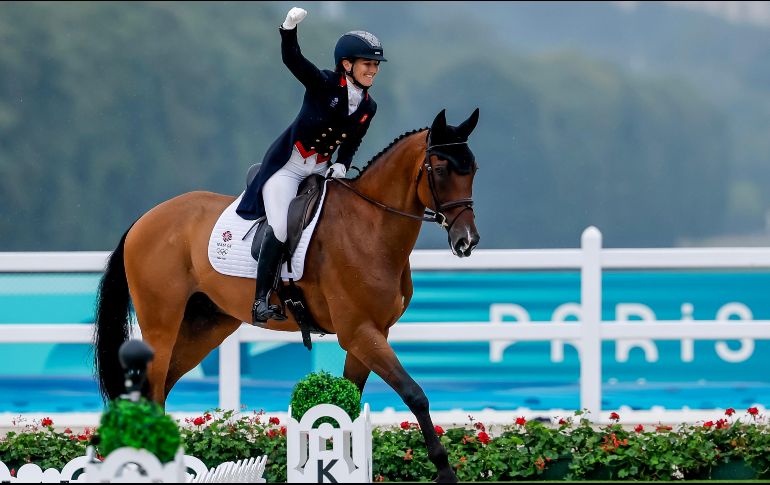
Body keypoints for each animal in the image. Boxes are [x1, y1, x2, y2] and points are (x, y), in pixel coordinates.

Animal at [93, 107, 476, 480]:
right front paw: (444, 471)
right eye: (441, 169)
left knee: (161, 390)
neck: (370, 228)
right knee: (152, 391)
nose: (467, 241)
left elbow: (349, 405)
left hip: (205, 326)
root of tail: (145, 219)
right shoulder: (358, 332)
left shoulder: (372, 333)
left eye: (472, 169)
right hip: (162, 326)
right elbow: (415, 394)